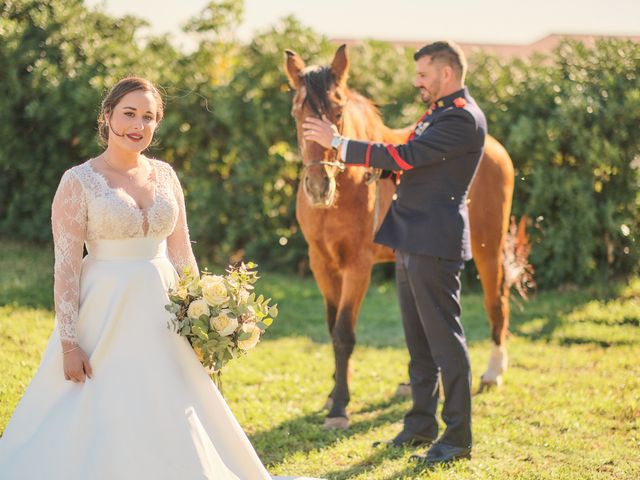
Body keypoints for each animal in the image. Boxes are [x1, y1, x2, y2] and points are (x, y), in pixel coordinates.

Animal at [288, 44, 528, 428]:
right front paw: (333, 392)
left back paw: (493, 373)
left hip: (487, 248)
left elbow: (343, 333)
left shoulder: (358, 267)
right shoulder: (321, 264)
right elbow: (331, 327)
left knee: (496, 302)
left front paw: (339, 406)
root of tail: (494, 147)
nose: (318, 186)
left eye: (337, 111)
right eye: (298, 113)